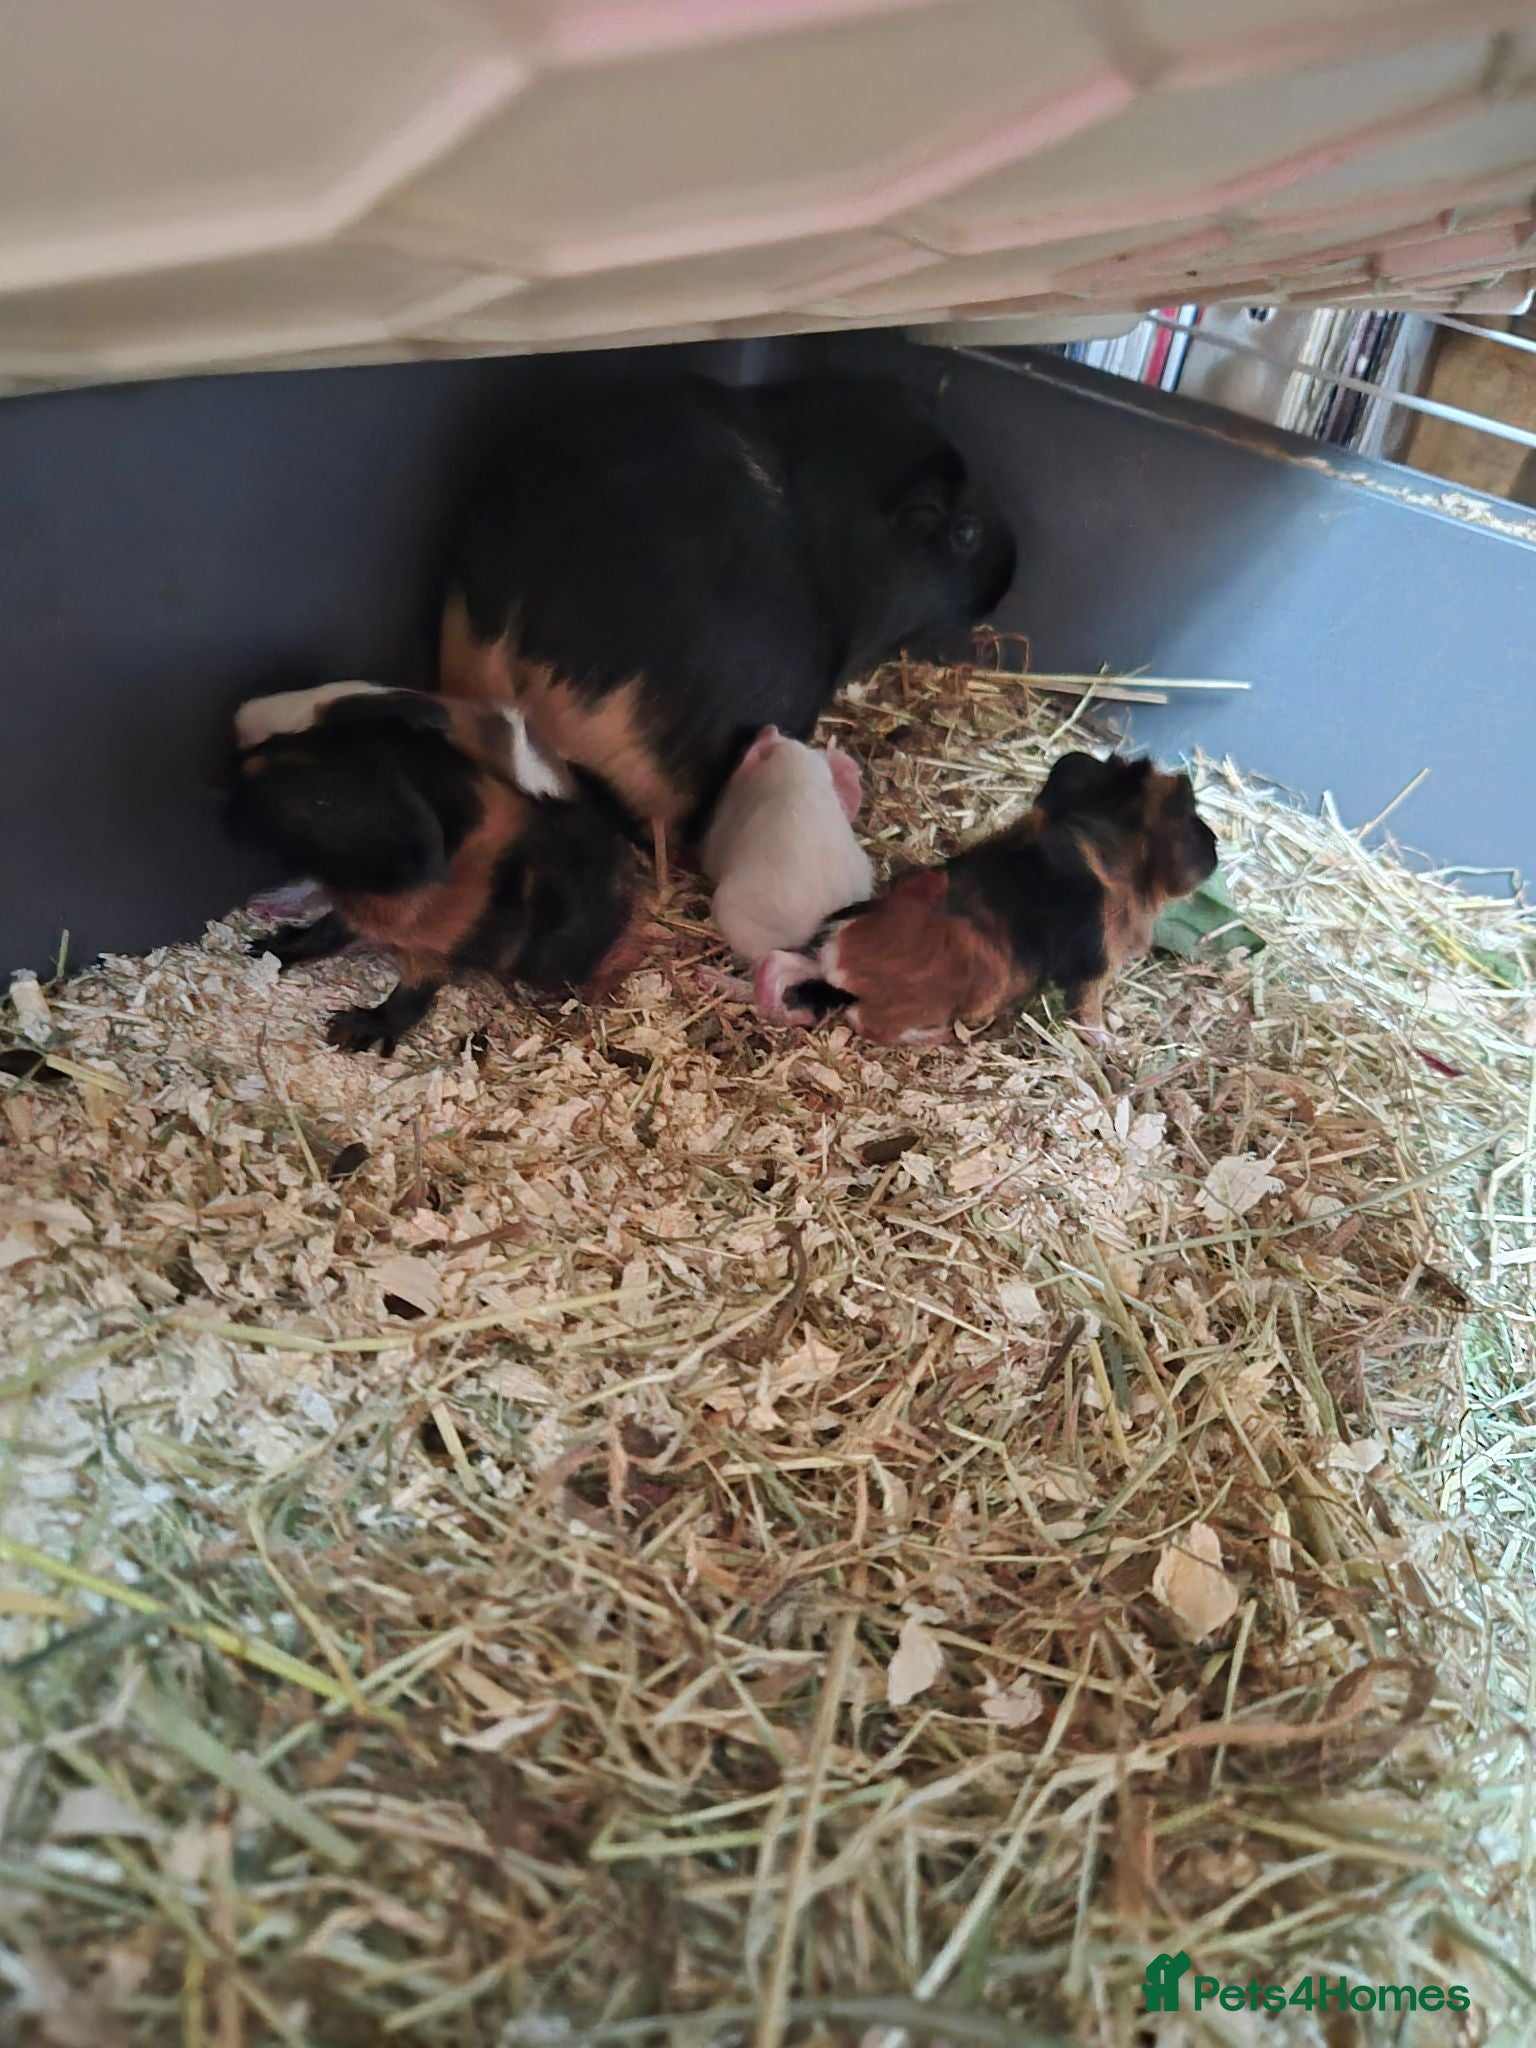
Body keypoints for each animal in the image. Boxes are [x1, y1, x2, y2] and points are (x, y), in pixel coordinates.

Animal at [228, 682, 639, 1054]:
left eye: (322, 803)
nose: (243, 768)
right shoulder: (354, 914)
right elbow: (319, 934)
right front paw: (263, 947)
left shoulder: (429, 951)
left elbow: (408, 998)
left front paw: (348, 1030)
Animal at [754, 752, 1218, 1046]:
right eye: (1191, 815)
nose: (1213, 847)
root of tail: (841, 954)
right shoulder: (1094, 971)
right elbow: (1088, 1009)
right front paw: (1109, 1043)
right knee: (865, 1021)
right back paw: (936, 1036)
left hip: (815, 961)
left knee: (779, 965)